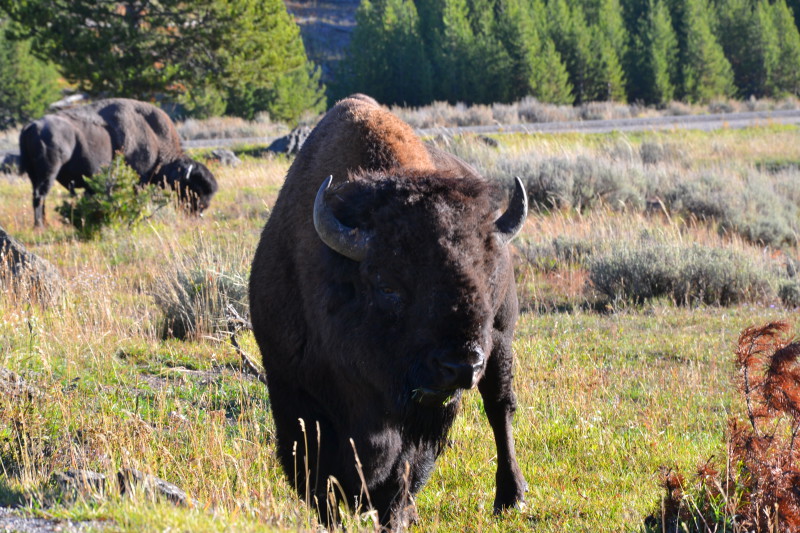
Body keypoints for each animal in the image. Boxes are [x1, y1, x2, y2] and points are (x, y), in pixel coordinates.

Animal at [19, 97, 219, 227]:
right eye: (193, 188)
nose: (199, 212)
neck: (155, 139)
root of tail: (32, 126)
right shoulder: (138, 181)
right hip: (48, 172)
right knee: (40, 195)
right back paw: (41, 226)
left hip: (33, 174)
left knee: (37, 196)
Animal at [247, 95, 528, 528]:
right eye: (387, 286)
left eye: (485, 279)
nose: (461, 365)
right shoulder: (292, 391)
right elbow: (317, 478)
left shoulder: (422, 417)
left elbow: (401, 477)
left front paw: (397, 517)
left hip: (501, 341)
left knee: (500, 408)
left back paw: (510, 498)